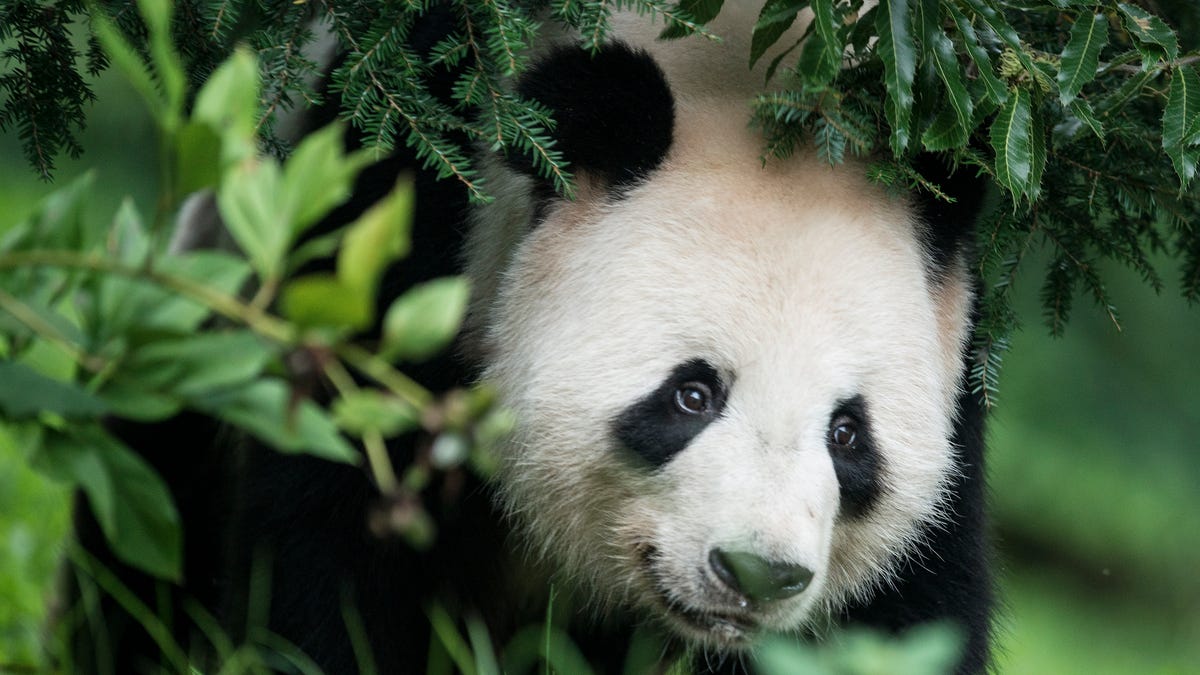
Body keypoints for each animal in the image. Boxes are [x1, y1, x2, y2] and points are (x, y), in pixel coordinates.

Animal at [70, 5, 991, 675]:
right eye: (691, 393)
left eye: (848, 434)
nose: (757, 572)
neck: (742, 73)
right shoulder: (409, 229)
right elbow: (330, 542)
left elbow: (912, 608)